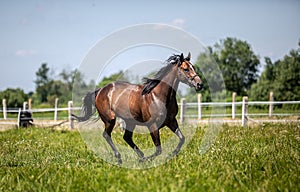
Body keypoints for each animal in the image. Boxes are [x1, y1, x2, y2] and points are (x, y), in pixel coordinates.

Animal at [72, 52, 203, 164]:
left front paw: (170, 155)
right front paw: (146, 161)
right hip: (110, 119)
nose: (199, 84)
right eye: (185, 69)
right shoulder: (152, 125)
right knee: (106, 135)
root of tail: (100, 91)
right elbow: (158, 149)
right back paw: (121, 158)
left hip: (130, 121)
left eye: (193, 67)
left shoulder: (171, 121)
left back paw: (140, 155)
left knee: (126, 137)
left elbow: (182, 139)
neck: (158, 96)